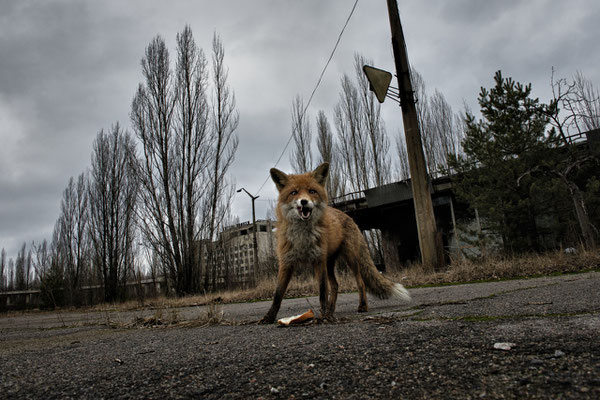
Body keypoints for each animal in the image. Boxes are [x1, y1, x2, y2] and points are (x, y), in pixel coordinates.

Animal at [260, 161, 410, 324]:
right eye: (294, 192)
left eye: (312, 191)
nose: (304, 202)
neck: (303, 236)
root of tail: (349, 217)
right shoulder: (286, 262)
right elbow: (278, 294)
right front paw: (268, 317)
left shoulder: (318, 260)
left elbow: (322, 291)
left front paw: (324, 317)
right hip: (329, 264)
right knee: (336, 285)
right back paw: (331, 310)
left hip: (350, 259)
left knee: (360, 282)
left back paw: (361, 306)